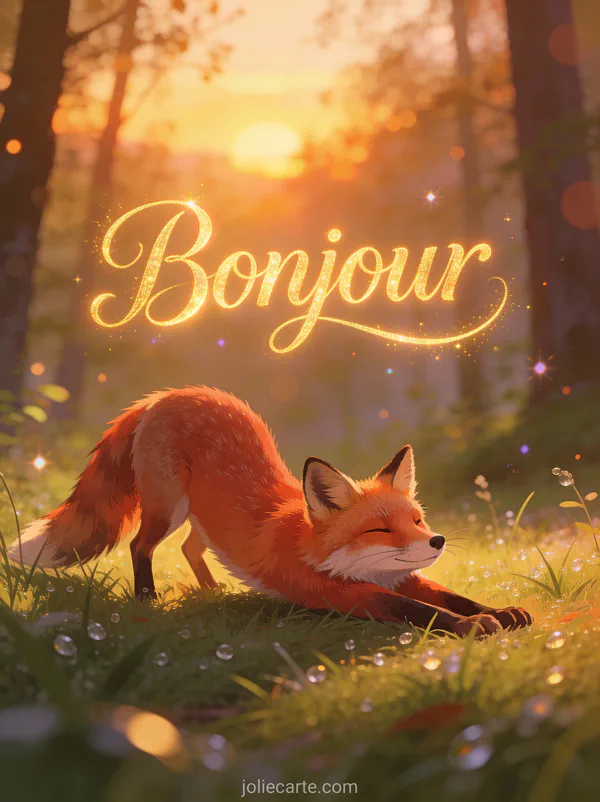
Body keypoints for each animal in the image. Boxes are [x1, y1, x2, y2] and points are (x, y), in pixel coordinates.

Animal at [9, 386, 532, 636]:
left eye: (417, 521)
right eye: (380, 529)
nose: (437, 541)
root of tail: (165, 395)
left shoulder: (398, 575)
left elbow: (453, 596)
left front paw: (499, 611)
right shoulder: (340, 593)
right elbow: (420, 611)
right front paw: (470, 627)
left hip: (199, 518)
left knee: (191, 549)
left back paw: (213, 591)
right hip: (168, 508)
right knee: (141, 545)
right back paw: (148, 598)